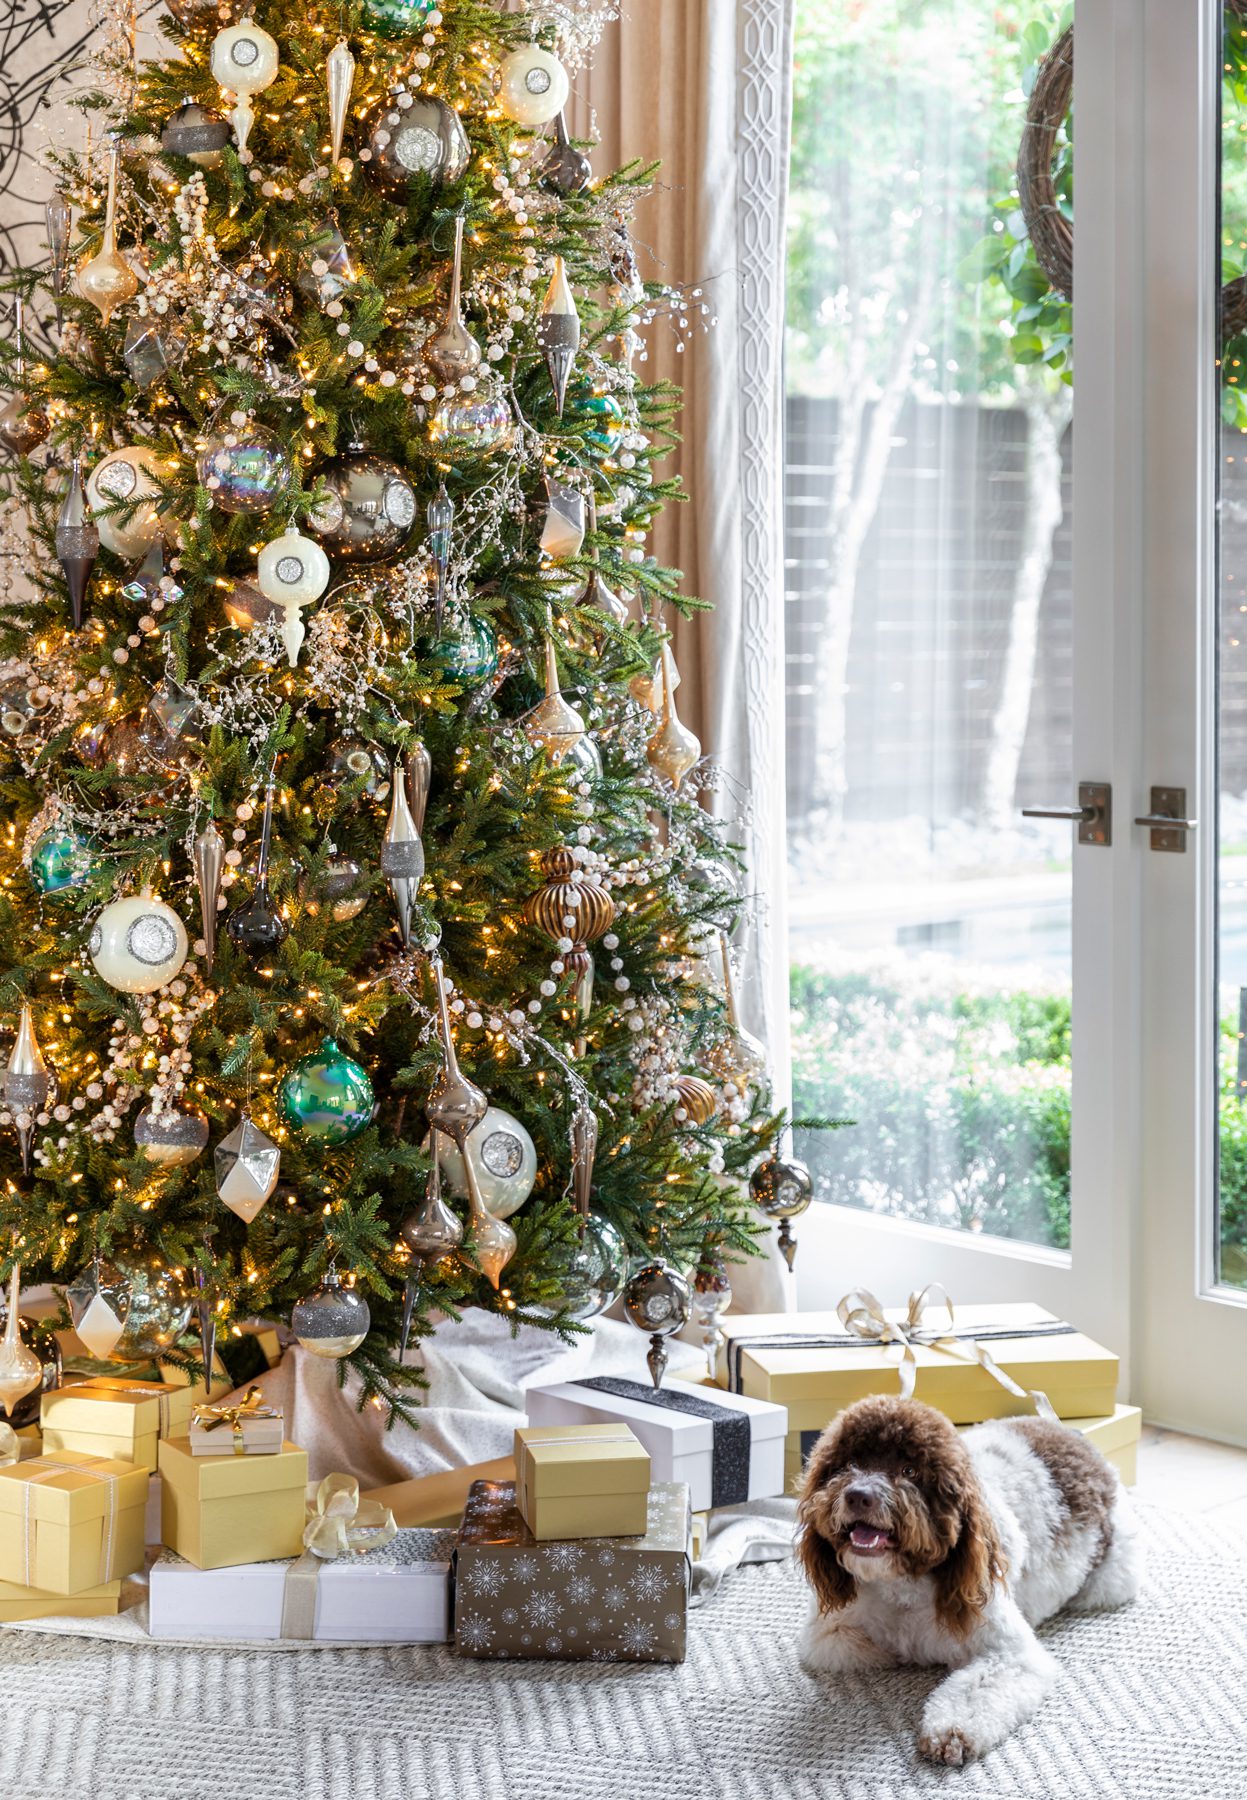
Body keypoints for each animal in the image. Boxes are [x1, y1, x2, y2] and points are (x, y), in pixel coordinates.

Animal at [798, 1396, 1137, 1764]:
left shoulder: (1010, 1651)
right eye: (851, 1463)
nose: (859, 1495)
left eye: (910, 1471)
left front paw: (950, 1733)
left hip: (1111, 1579)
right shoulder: (828, 1633)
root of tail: (1068, 1432)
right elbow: (877, 1646)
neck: (902, 1587)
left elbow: (975, 1687)